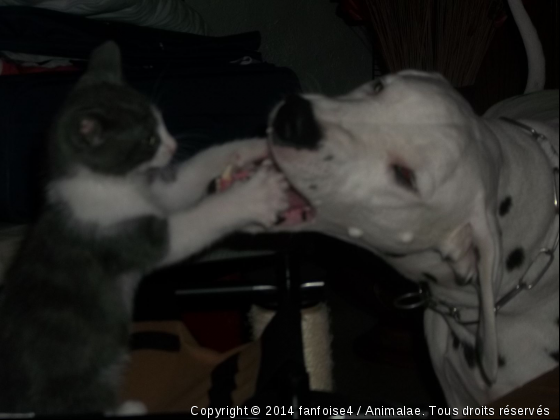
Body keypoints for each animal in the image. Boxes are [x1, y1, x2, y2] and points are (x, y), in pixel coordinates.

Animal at [0, 41, 288, 416]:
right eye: (149, 139)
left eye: (161, 123)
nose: (173, 145)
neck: (111, 183)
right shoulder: (124, 235)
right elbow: (197, 220)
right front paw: (252, 197)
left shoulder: (158, 193)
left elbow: (192, 172)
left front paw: (253, 145)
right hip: (70, 388)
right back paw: (130, 408)